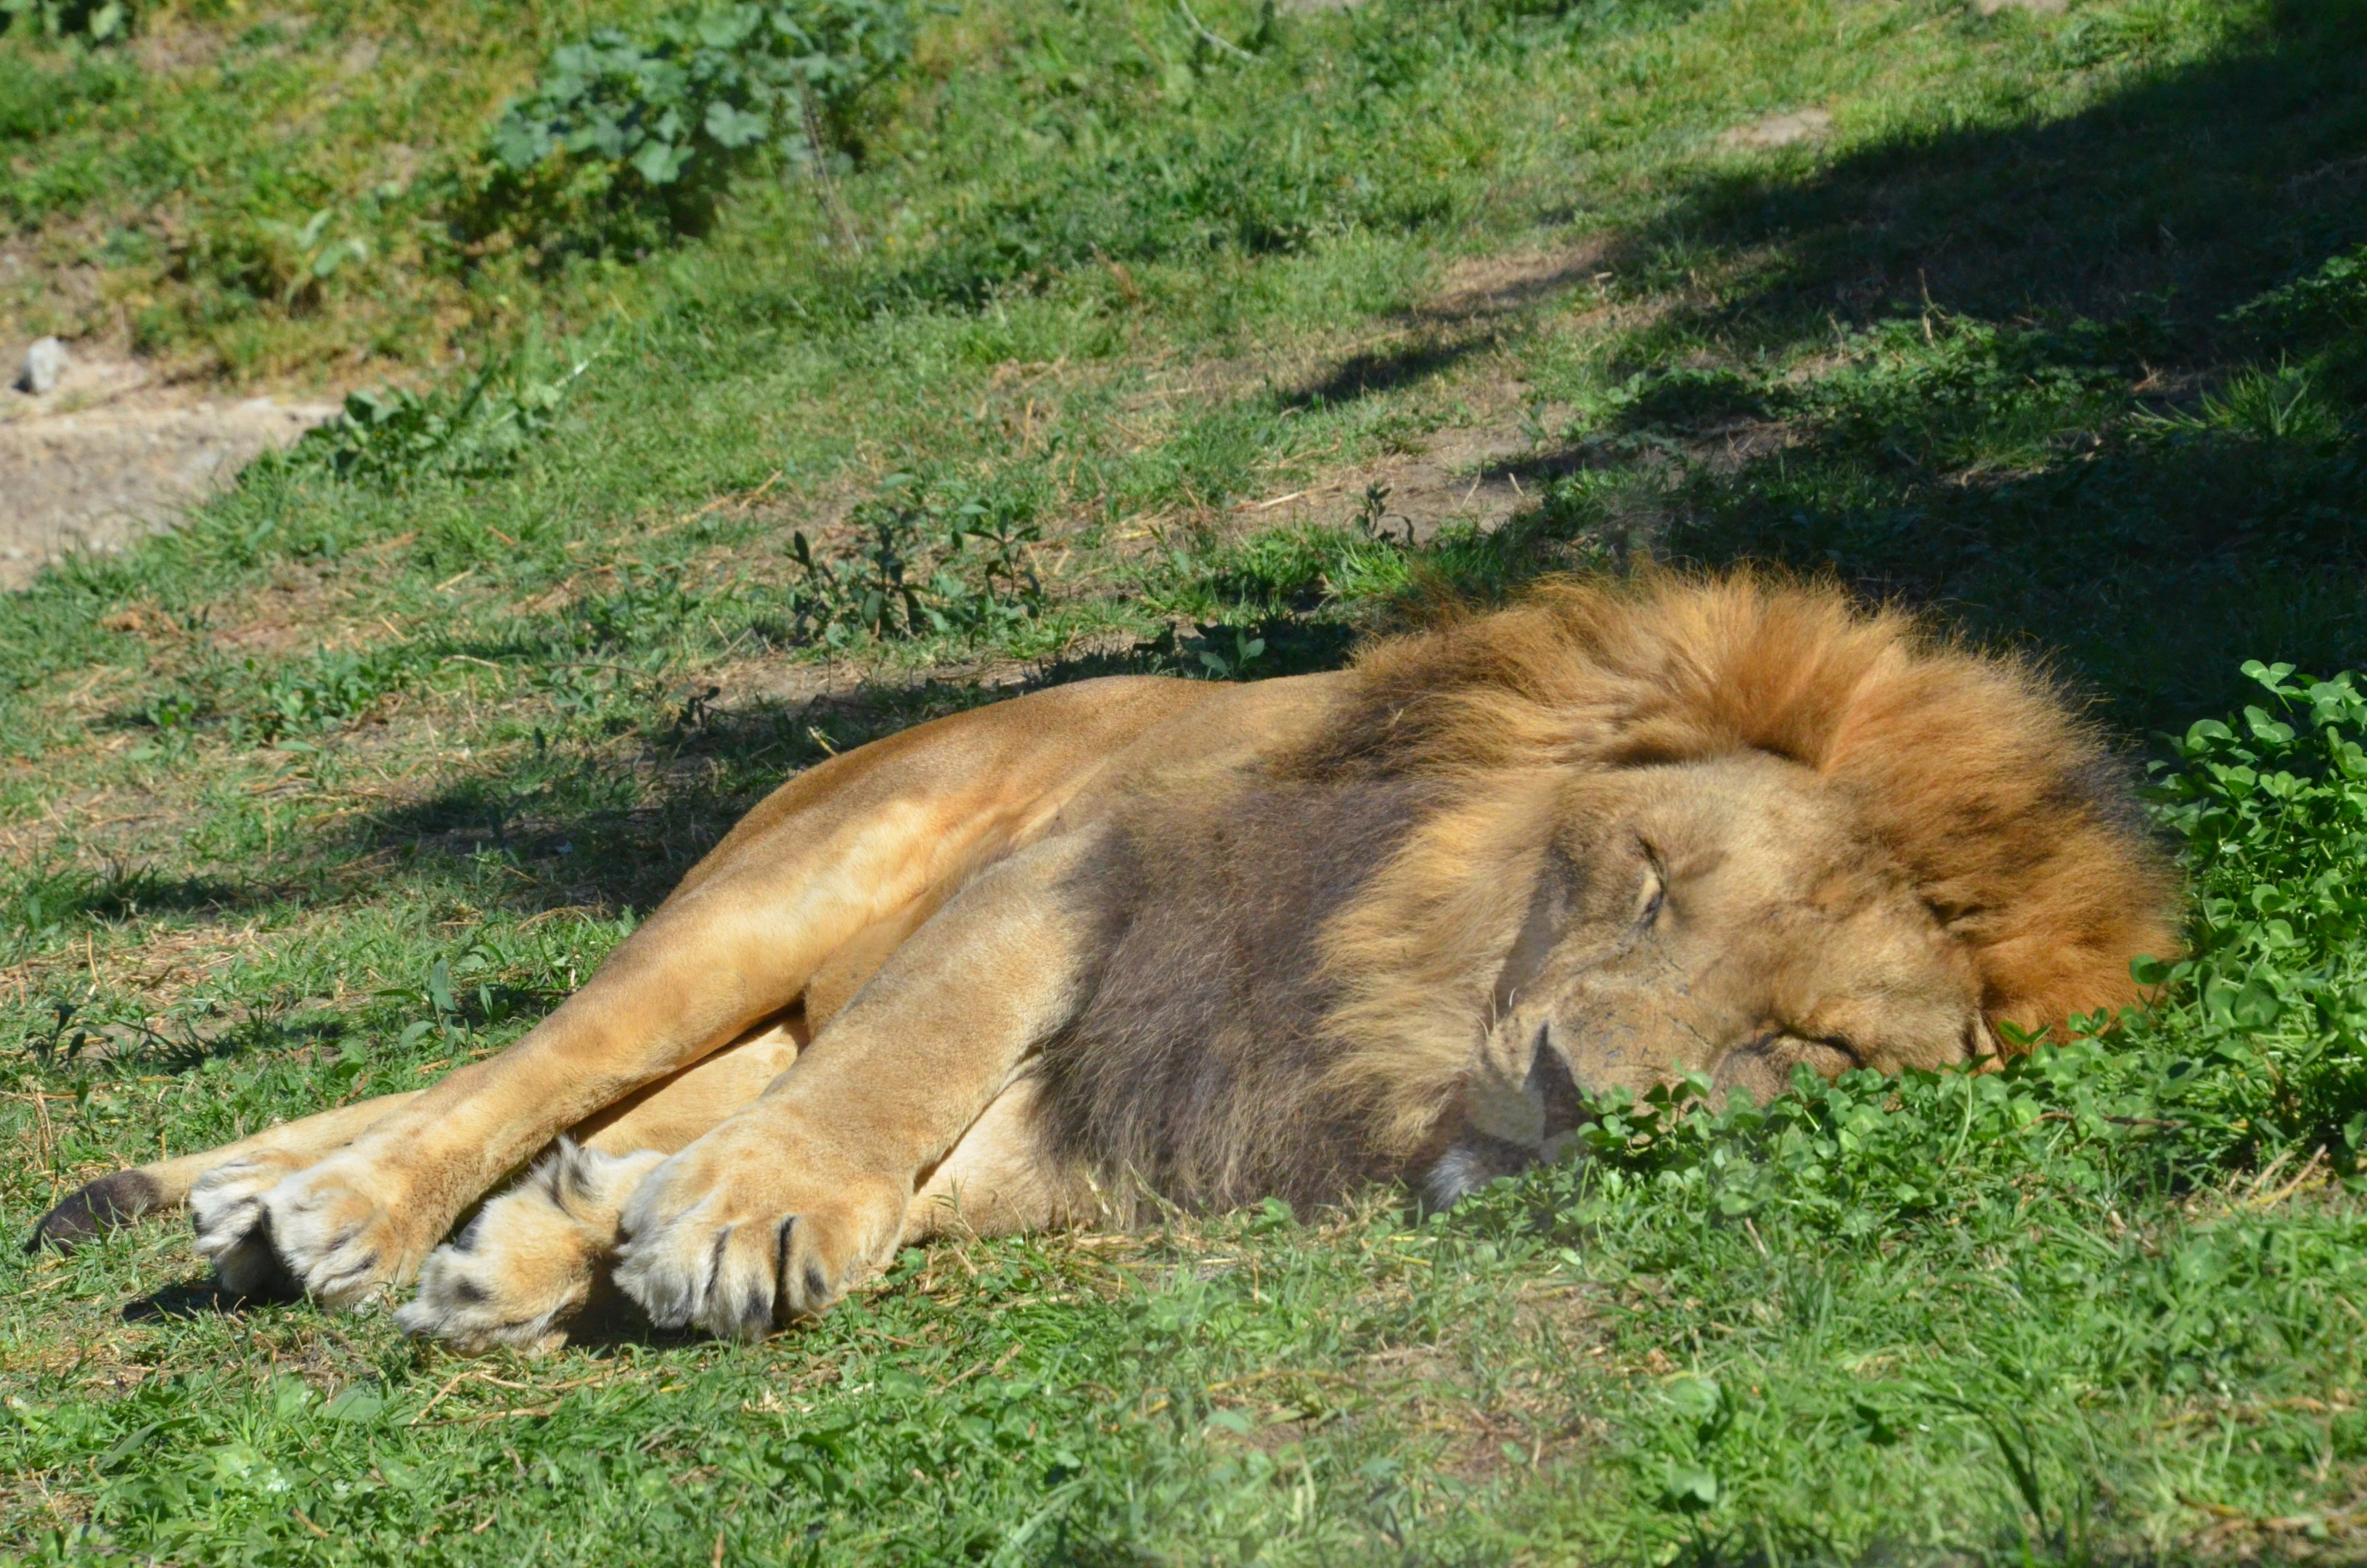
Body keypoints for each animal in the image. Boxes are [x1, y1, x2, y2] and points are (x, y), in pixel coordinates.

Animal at [27, 574, 2179, 1350]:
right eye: (1647, 875)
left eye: (1805, 1044)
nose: (1575, 1092)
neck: (1384, 1010)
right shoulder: (1064, 886)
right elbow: (891, 1081)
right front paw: (730, 1224)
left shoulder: (1130, 1128)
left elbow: (910, 1174)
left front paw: (578, 1247)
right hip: (791, 888)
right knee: (526, 1067)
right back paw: (320, 1214)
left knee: (616, 1099)